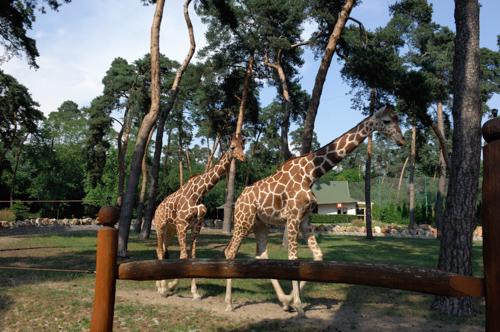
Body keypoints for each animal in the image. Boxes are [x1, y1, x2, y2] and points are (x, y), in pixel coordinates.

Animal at [153, 134, 245, 298]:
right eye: (232, 147)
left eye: (243, 145)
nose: (243, 157)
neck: (199, 193)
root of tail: (157, 209)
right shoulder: (182, 224)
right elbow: (183, 256)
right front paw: (170, 286)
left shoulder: (197, 226)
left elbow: (193, 256)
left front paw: (195, 292)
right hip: (160, 226)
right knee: (159, 250)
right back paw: (162, 288)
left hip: (170, 230)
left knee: (163, 250)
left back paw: (160, 286)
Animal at [225, 105, 404, 316]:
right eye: (387, 121)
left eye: (398, 118)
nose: (402, 140)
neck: (311, 174)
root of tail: (239, 199)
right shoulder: (293, 217)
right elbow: (293, 259)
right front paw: (299, 305)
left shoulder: (304, 220)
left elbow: (318, 256)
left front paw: (291, 301)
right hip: (243, 221)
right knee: (230, 251)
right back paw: (228, 303)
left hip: (260, 224)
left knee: (261, 255)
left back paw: (282, 300)